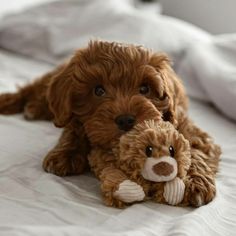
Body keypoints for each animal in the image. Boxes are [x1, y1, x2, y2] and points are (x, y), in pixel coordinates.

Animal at [0, 40, 221, 206]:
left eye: (145, 89)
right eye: (98, 90)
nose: (125, 119)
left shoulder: (190, 129)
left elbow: (193, 150)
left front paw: (195, 182)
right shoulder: (76, 118)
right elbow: (73, 129)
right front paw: (65, 153)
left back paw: (33, 107)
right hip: (51, 82)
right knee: (35, 89)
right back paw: (13, 101)